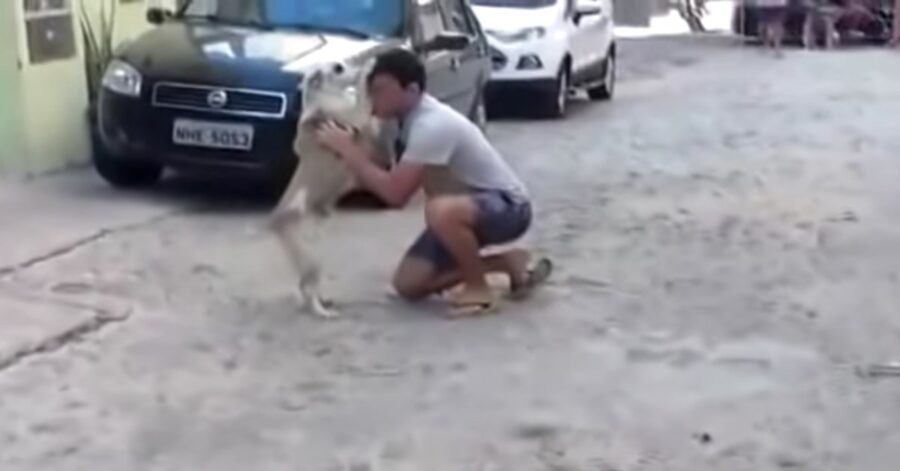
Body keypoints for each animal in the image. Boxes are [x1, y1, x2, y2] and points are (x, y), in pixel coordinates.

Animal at [268, 58, 394, 318]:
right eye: (338, 68)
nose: (363, 61)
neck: (322, 101)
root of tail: (276, 222)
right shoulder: (354, 116)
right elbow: (362, 102)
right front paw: (367, 71)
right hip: (312, 260)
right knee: (307, 290)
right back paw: (323, 313)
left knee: (306, 287)